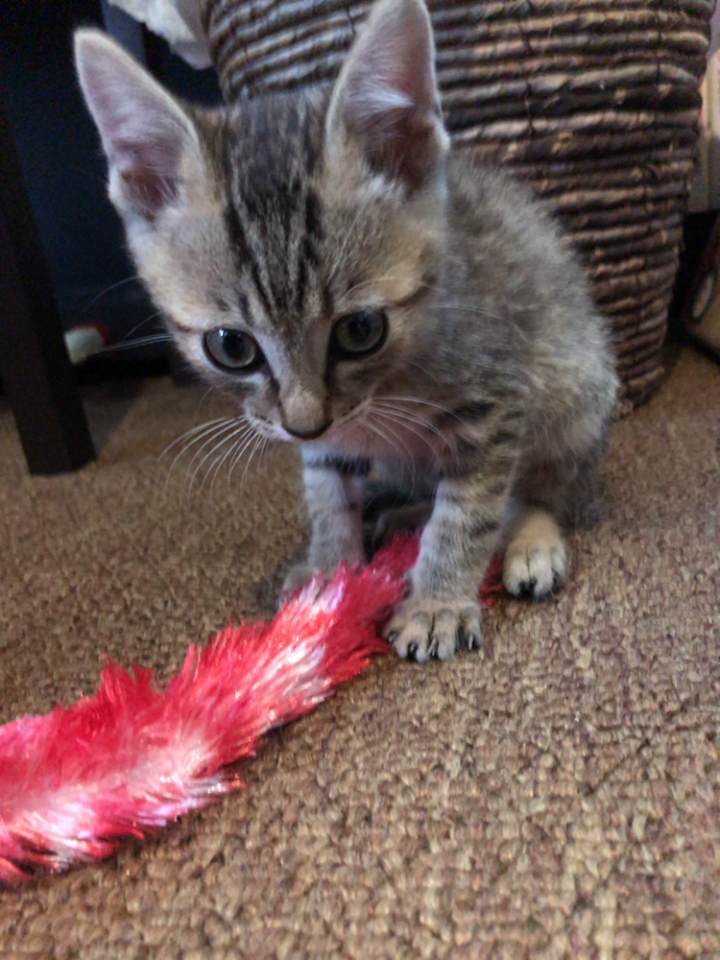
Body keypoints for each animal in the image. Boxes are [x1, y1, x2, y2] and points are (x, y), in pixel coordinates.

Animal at [74, 0, 619, 663]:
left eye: (361, 329)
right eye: (230, 346)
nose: (304, 424)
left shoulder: (493, 402)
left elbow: (467, 512)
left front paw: (436, 601)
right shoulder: (327, 438)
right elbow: (329, 493)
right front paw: (330, 571)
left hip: (576, 385)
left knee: (546, 486)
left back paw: (532, 536)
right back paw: (404, 512)